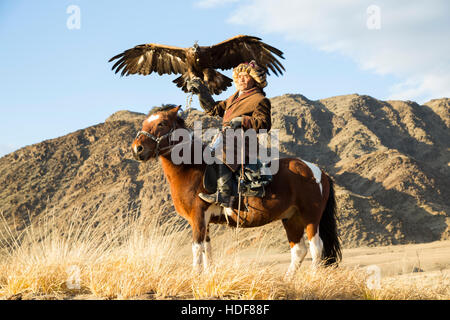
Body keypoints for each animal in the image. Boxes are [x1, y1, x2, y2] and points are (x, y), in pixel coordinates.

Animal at [130, 104, 342, 278]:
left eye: (161, 123)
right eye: (145, 122)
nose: (137, 149)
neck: (192, 169)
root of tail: (317, 171)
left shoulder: (197, 217)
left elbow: (197, 249)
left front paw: (195, 277)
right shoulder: (205, 220)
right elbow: (207, 250)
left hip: (310, 217)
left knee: (316, 248)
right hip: (291, 218)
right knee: (298, 250)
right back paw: (288, 280)